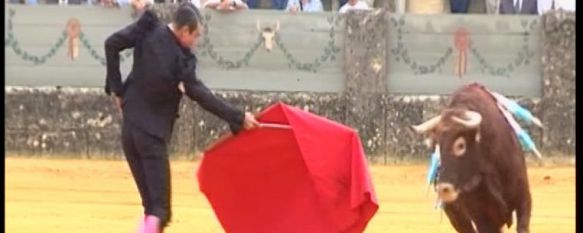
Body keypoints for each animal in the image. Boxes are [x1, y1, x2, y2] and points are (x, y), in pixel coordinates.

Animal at [412, 83, 532, 233]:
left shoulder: (523, 199)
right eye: (437, 144)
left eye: (460, 145)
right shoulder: (482, 217)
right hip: (457, 217)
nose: (443, 189)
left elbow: (522, 226)